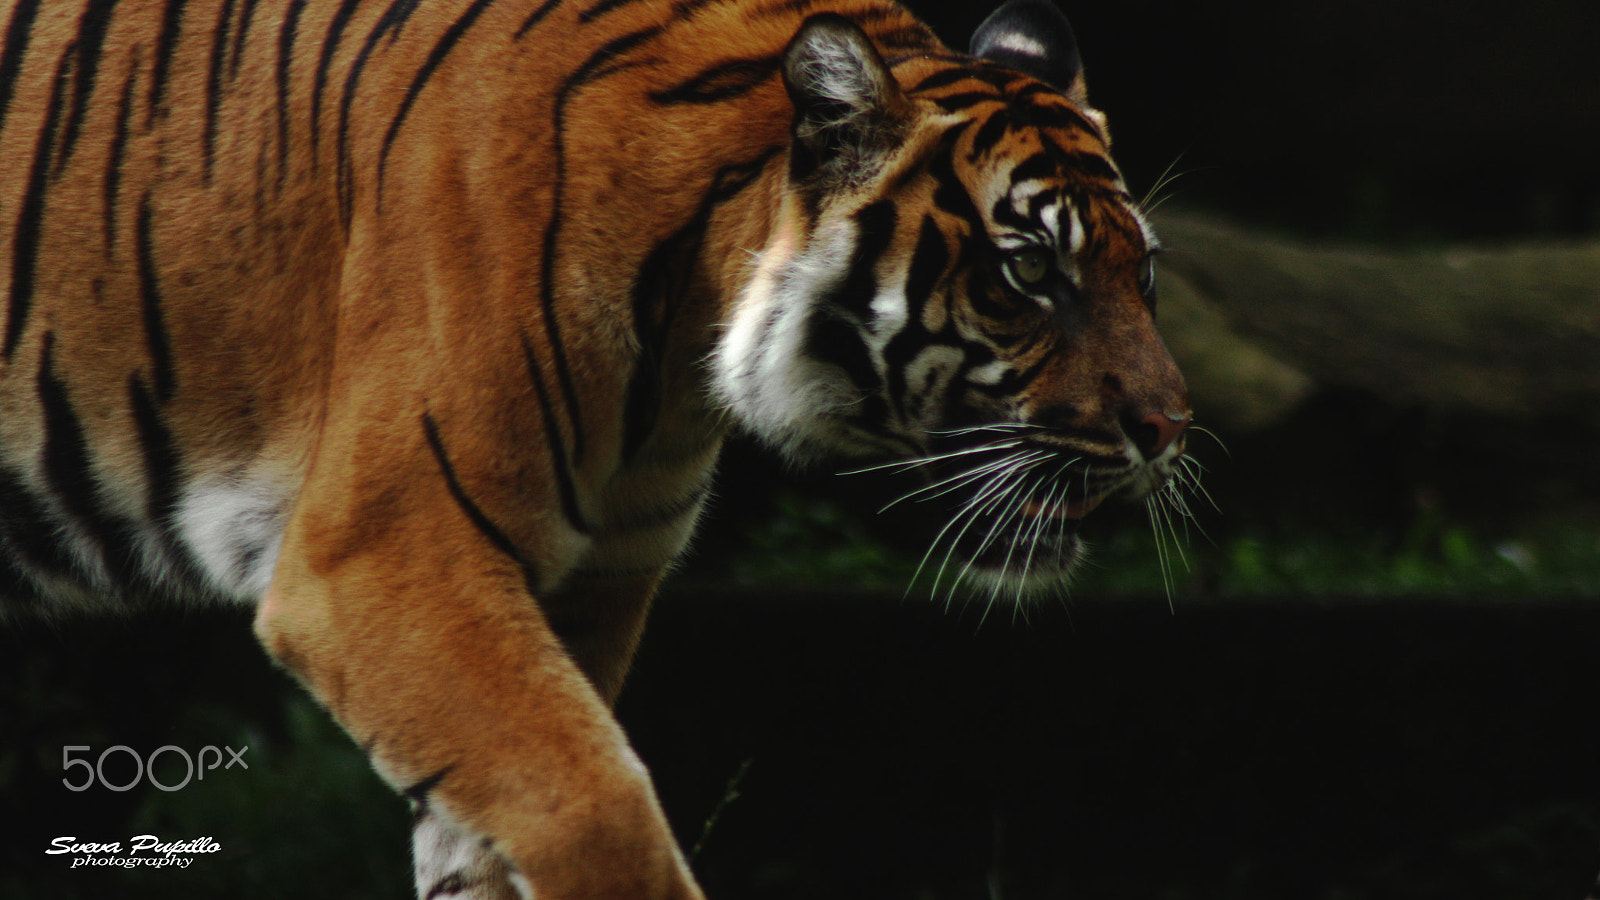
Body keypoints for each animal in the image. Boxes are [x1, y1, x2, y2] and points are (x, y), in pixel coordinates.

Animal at [0, 0, 1189, 895]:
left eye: (1141, 271)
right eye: (1027, 272)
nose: (1169, 431)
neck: (684, 345)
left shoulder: (588, 586)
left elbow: (488, 833)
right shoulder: (381, 560)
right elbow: (593, 805)